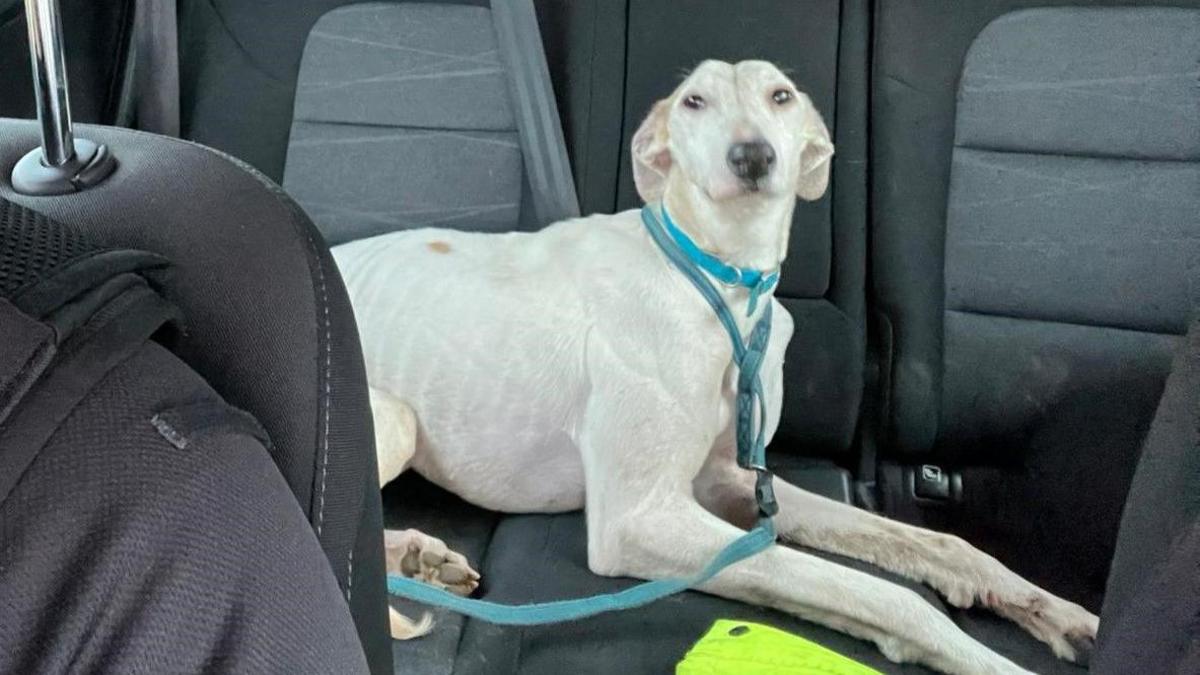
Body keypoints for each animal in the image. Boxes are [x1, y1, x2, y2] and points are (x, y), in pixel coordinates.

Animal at [331, 60, 1099, 667]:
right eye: (694, 101)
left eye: (780, 95)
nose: (752, 157)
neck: (720, 279)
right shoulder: (639, 520)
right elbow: (878, 594)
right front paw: (985, 657)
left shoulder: (732, 480)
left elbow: (936, 543)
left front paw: (1051, 609)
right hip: (393, 417)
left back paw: (420, 559)